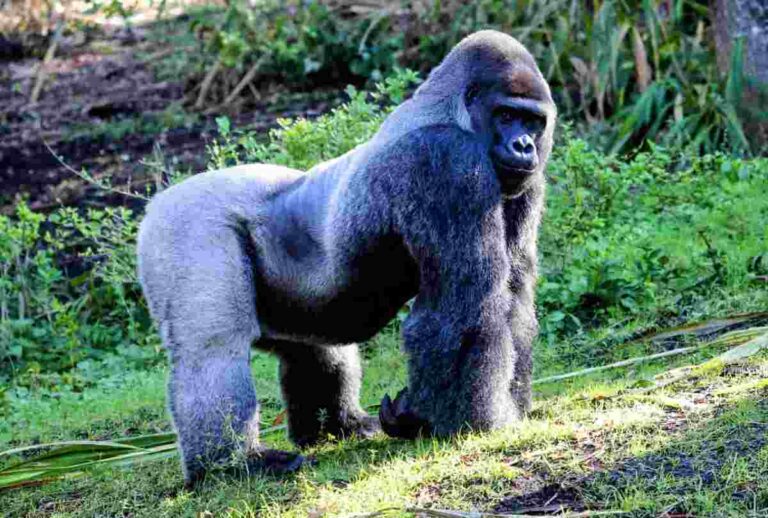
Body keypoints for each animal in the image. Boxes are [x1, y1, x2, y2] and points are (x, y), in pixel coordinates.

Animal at [137, 30, 556, 487]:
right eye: (506, 115)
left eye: (533, 122)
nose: (524, 146)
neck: (453, 111)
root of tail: (158, 200)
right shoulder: (446, 161)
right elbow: (466, 307)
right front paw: (465, 425)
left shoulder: (525, 181)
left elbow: (513, 295)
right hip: (184, 225)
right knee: (212, 350)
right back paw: (228, 466)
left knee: (313, 348)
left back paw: (338, 427)